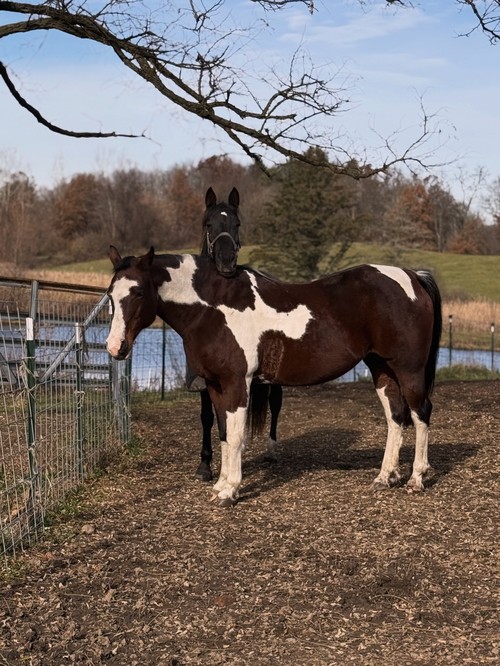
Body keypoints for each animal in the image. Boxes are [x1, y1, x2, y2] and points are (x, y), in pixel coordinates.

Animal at [106, 247, 442, 507]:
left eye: (138, 292)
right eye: (110, 295)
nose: (114, 347)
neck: (213, 308)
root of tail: (413, 276)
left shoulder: (237, 383)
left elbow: (237, 436)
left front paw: (229, 492)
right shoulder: (215, 386)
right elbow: (224, 433)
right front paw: (220, 486)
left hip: (409, 370)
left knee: (421, 413)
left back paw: (416, 478)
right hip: (382, 369)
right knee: (395, 417)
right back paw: (385, 477)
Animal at [192, 187, 283, 481]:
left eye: (237, 224)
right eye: (209, 224)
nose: (226, 261)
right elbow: (209, 417)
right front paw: (205, 465)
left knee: (275, 404)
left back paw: (272, 451)